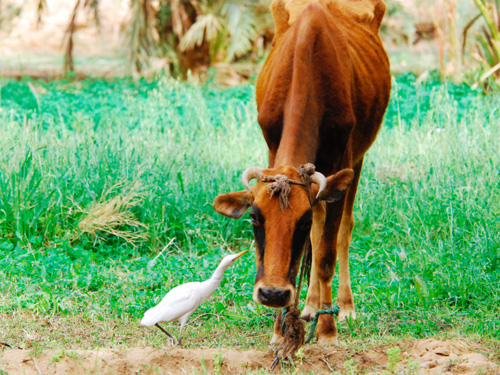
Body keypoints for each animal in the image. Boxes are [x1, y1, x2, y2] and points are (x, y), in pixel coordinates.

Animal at [211, 0, 390, 346]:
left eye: (301, 220)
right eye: (254, 217)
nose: (272, 294)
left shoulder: (340, 166)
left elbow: (324, 255)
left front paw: (328, 331)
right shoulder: (272, 148)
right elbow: (301, 249)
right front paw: (280, 328)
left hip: (359, 159)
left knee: (341, 232)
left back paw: (343, 306)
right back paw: (308, 307)